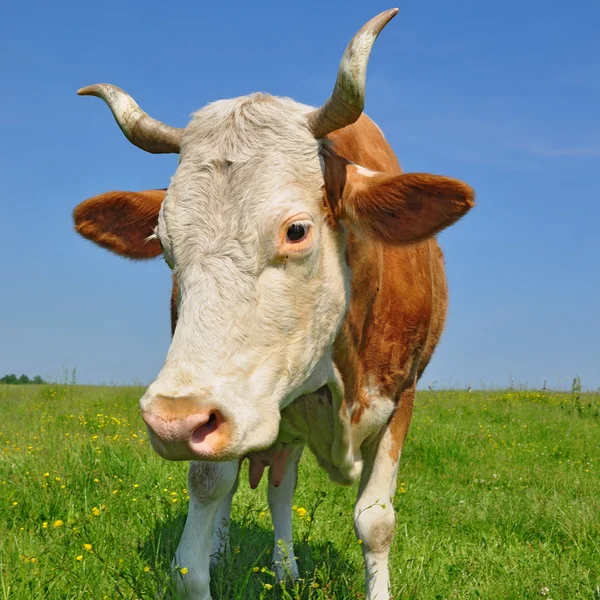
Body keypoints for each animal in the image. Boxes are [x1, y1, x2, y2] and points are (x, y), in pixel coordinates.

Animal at [71, 9, 474, 600]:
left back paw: (285, 570)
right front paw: (207, 558)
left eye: (296, 230)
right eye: (164, 243)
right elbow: (200, 523)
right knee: (267, 485)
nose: (174, 421)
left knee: (282, 485)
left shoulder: (403, 396)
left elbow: (376, 521)